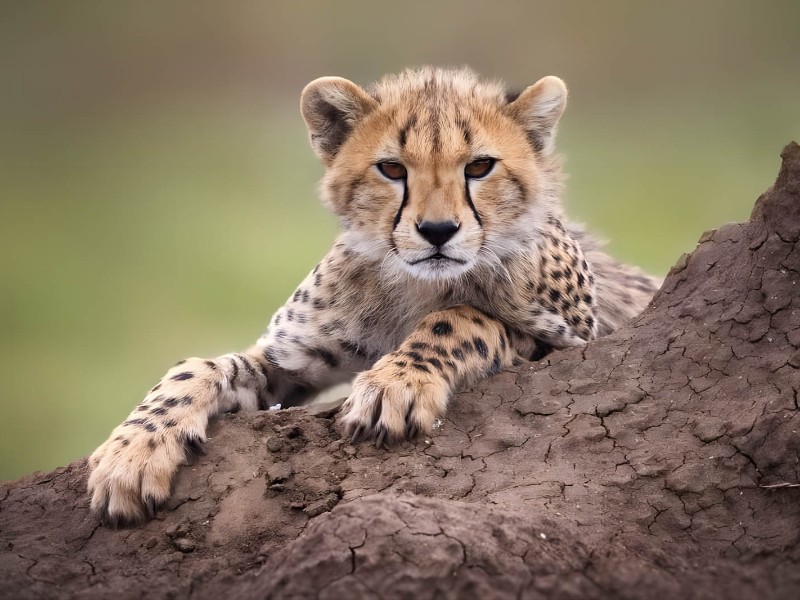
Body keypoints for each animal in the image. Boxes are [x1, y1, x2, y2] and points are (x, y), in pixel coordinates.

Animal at [87, 66, 660, 526]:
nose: (437, 231)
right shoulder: (289, 363)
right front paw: (131, 452)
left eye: (479, 167)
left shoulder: (575, 342)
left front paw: (395, 384)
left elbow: (463, 316)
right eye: (392, 168)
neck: (416, 282)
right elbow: (197, 367)